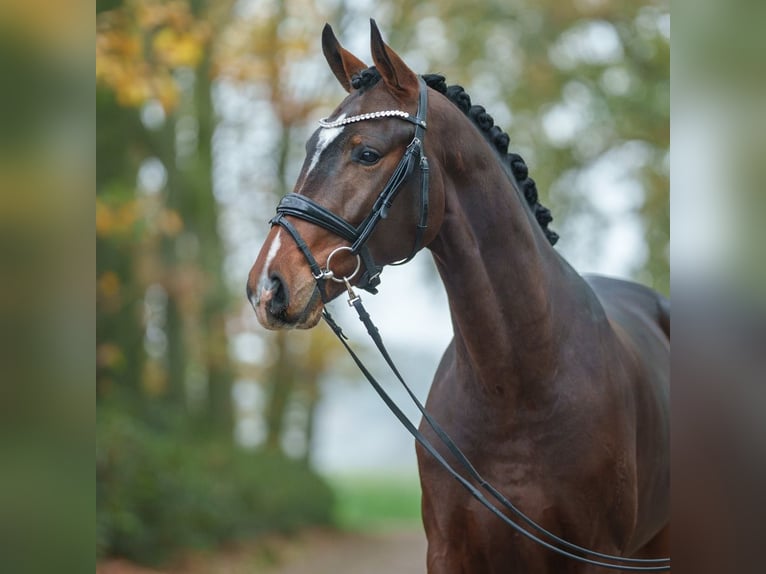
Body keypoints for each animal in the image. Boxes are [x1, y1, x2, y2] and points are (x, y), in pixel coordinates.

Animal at [249, 20, 668, 572]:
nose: (267, 286)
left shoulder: (597, 555)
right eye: (308, 150)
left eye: (367, 153)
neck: (516, 387)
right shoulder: (449, 550)